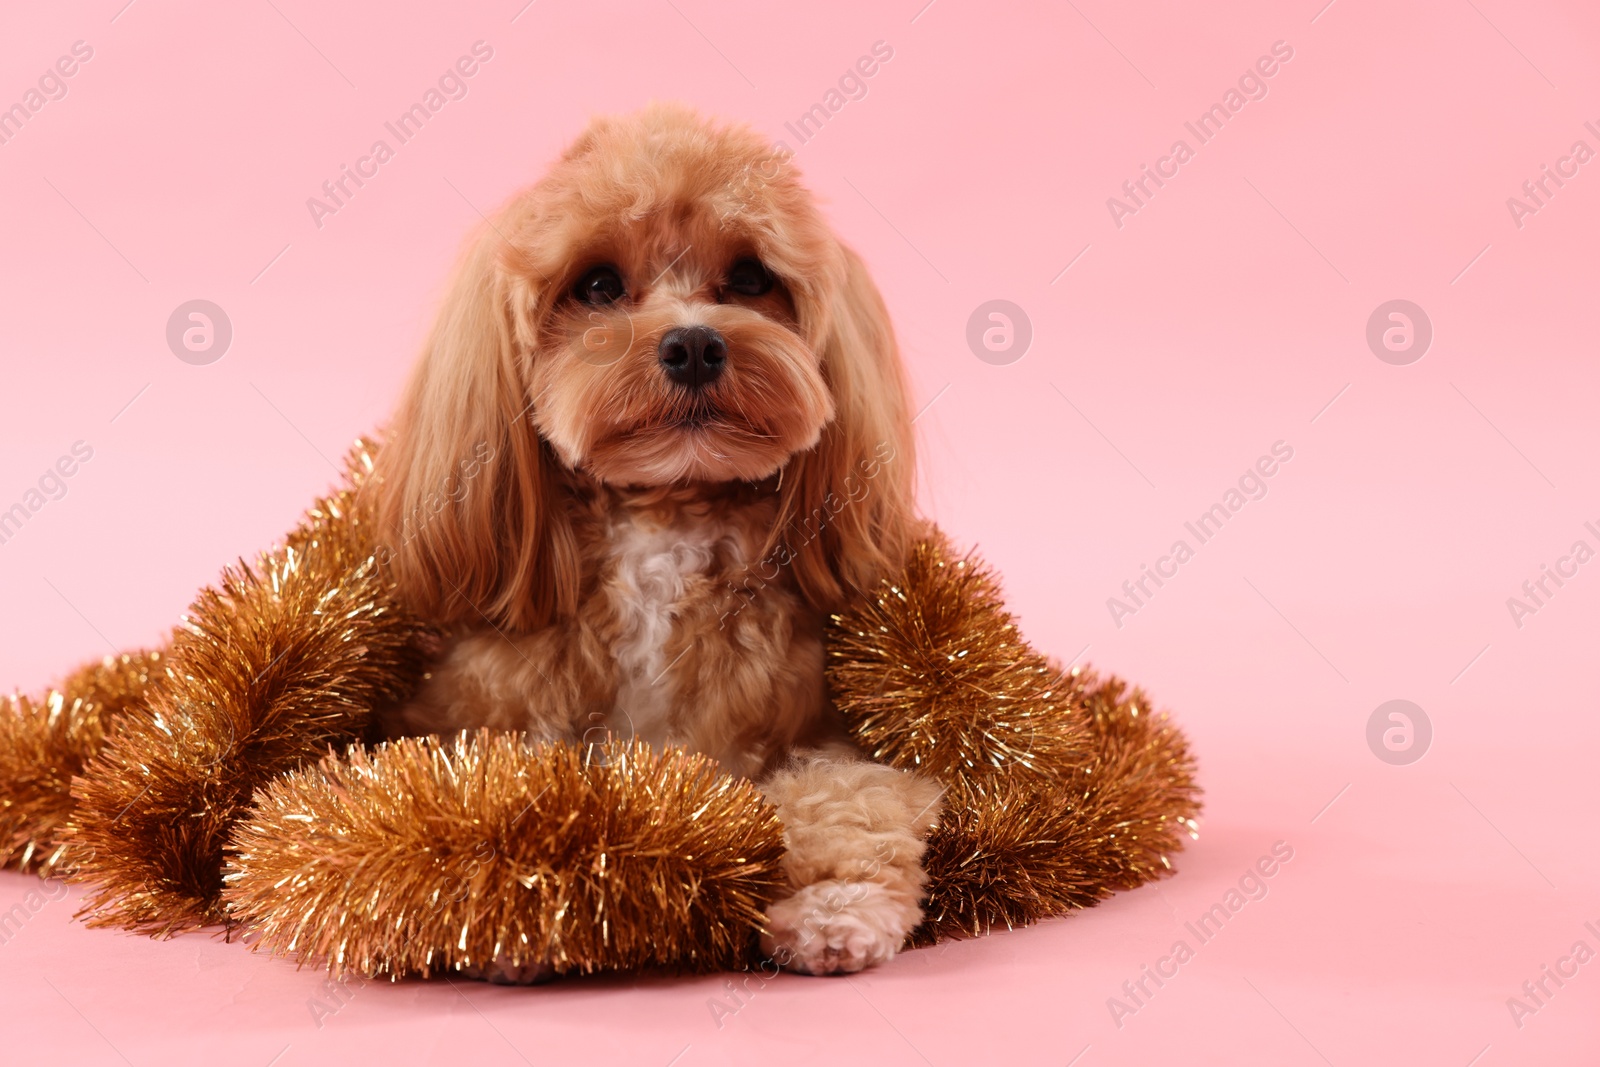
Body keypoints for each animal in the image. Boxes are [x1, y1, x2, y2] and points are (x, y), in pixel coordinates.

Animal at [371, 103, 947, 979]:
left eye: (750, 278)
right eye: (597, 285)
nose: (696, 344)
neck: (664, 520)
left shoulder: (822, 738)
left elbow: (850, 798)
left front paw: (833, 905)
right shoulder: (480, 713)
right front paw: (508, 903)